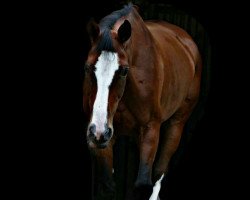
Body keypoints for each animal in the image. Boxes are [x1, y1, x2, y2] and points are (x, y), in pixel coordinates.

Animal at [82, 3, 203, 200]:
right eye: (87, 67)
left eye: (124, 70)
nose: (99, 130)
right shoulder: (103, 140)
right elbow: (108, 185)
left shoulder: (150, 129)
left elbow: (143, 183)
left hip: (176, 124)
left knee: (159, 172)